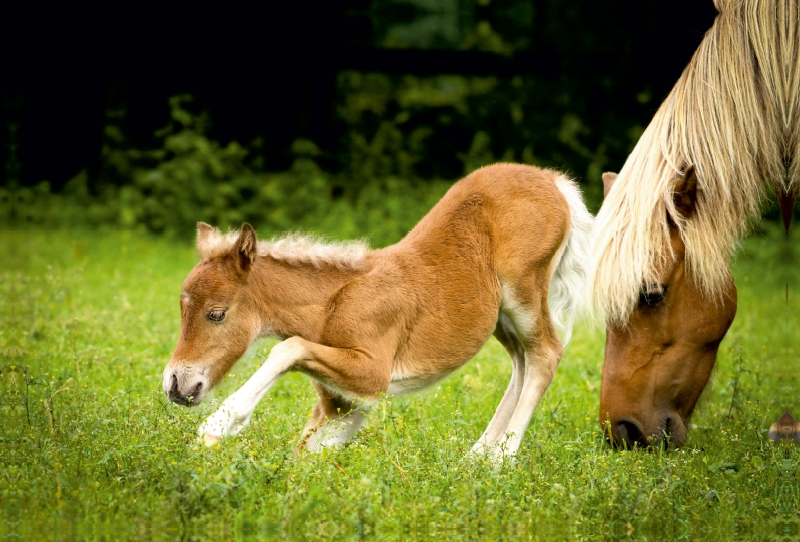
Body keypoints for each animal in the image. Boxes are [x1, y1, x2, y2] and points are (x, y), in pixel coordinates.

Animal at [161, 163, 592, 460]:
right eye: (181, 309)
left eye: (216, 314)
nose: (176, 385)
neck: (334, 302)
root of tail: (553, 180)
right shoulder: (345, 405)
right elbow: (304, 455)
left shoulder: (373, 374)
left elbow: (288, 348)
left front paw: (217, 426)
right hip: (501, 314)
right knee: (522, 360)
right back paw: (476, 459)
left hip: (524, 292)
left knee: (545, 353)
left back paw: (500, 460)